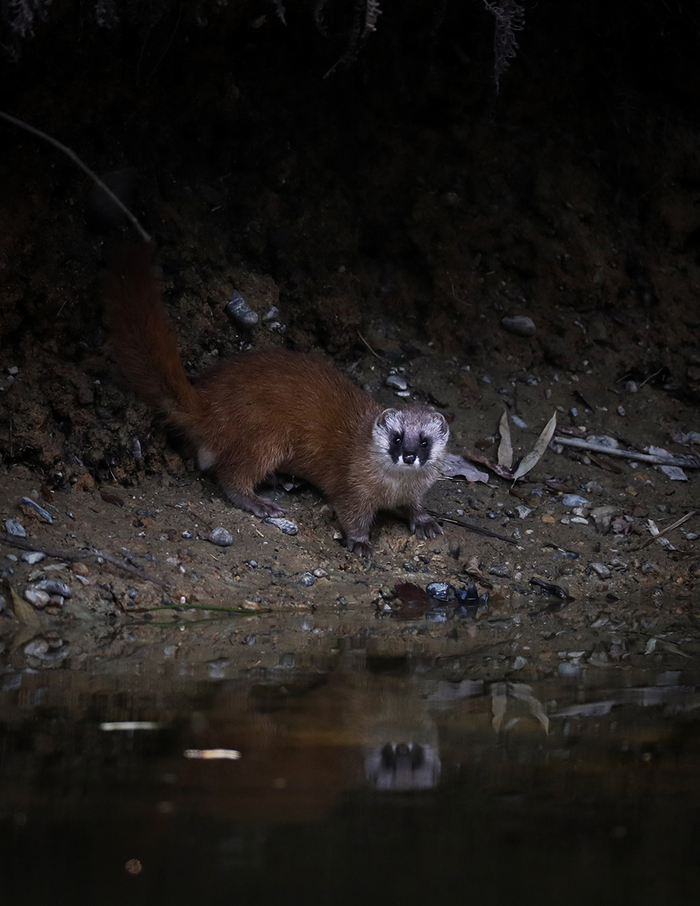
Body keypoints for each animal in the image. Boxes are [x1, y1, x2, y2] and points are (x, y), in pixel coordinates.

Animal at [106, 244, 452, 556]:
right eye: (397, 437)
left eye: (424, 441)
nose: (409, 455)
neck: (392, 489)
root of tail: (205, 401)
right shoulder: (351, 486)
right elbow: (351, 514)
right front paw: (361, 543)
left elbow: (415, 505)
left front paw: (425, 522)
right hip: (265, 438)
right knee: (232, 476)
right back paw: (262, 503)